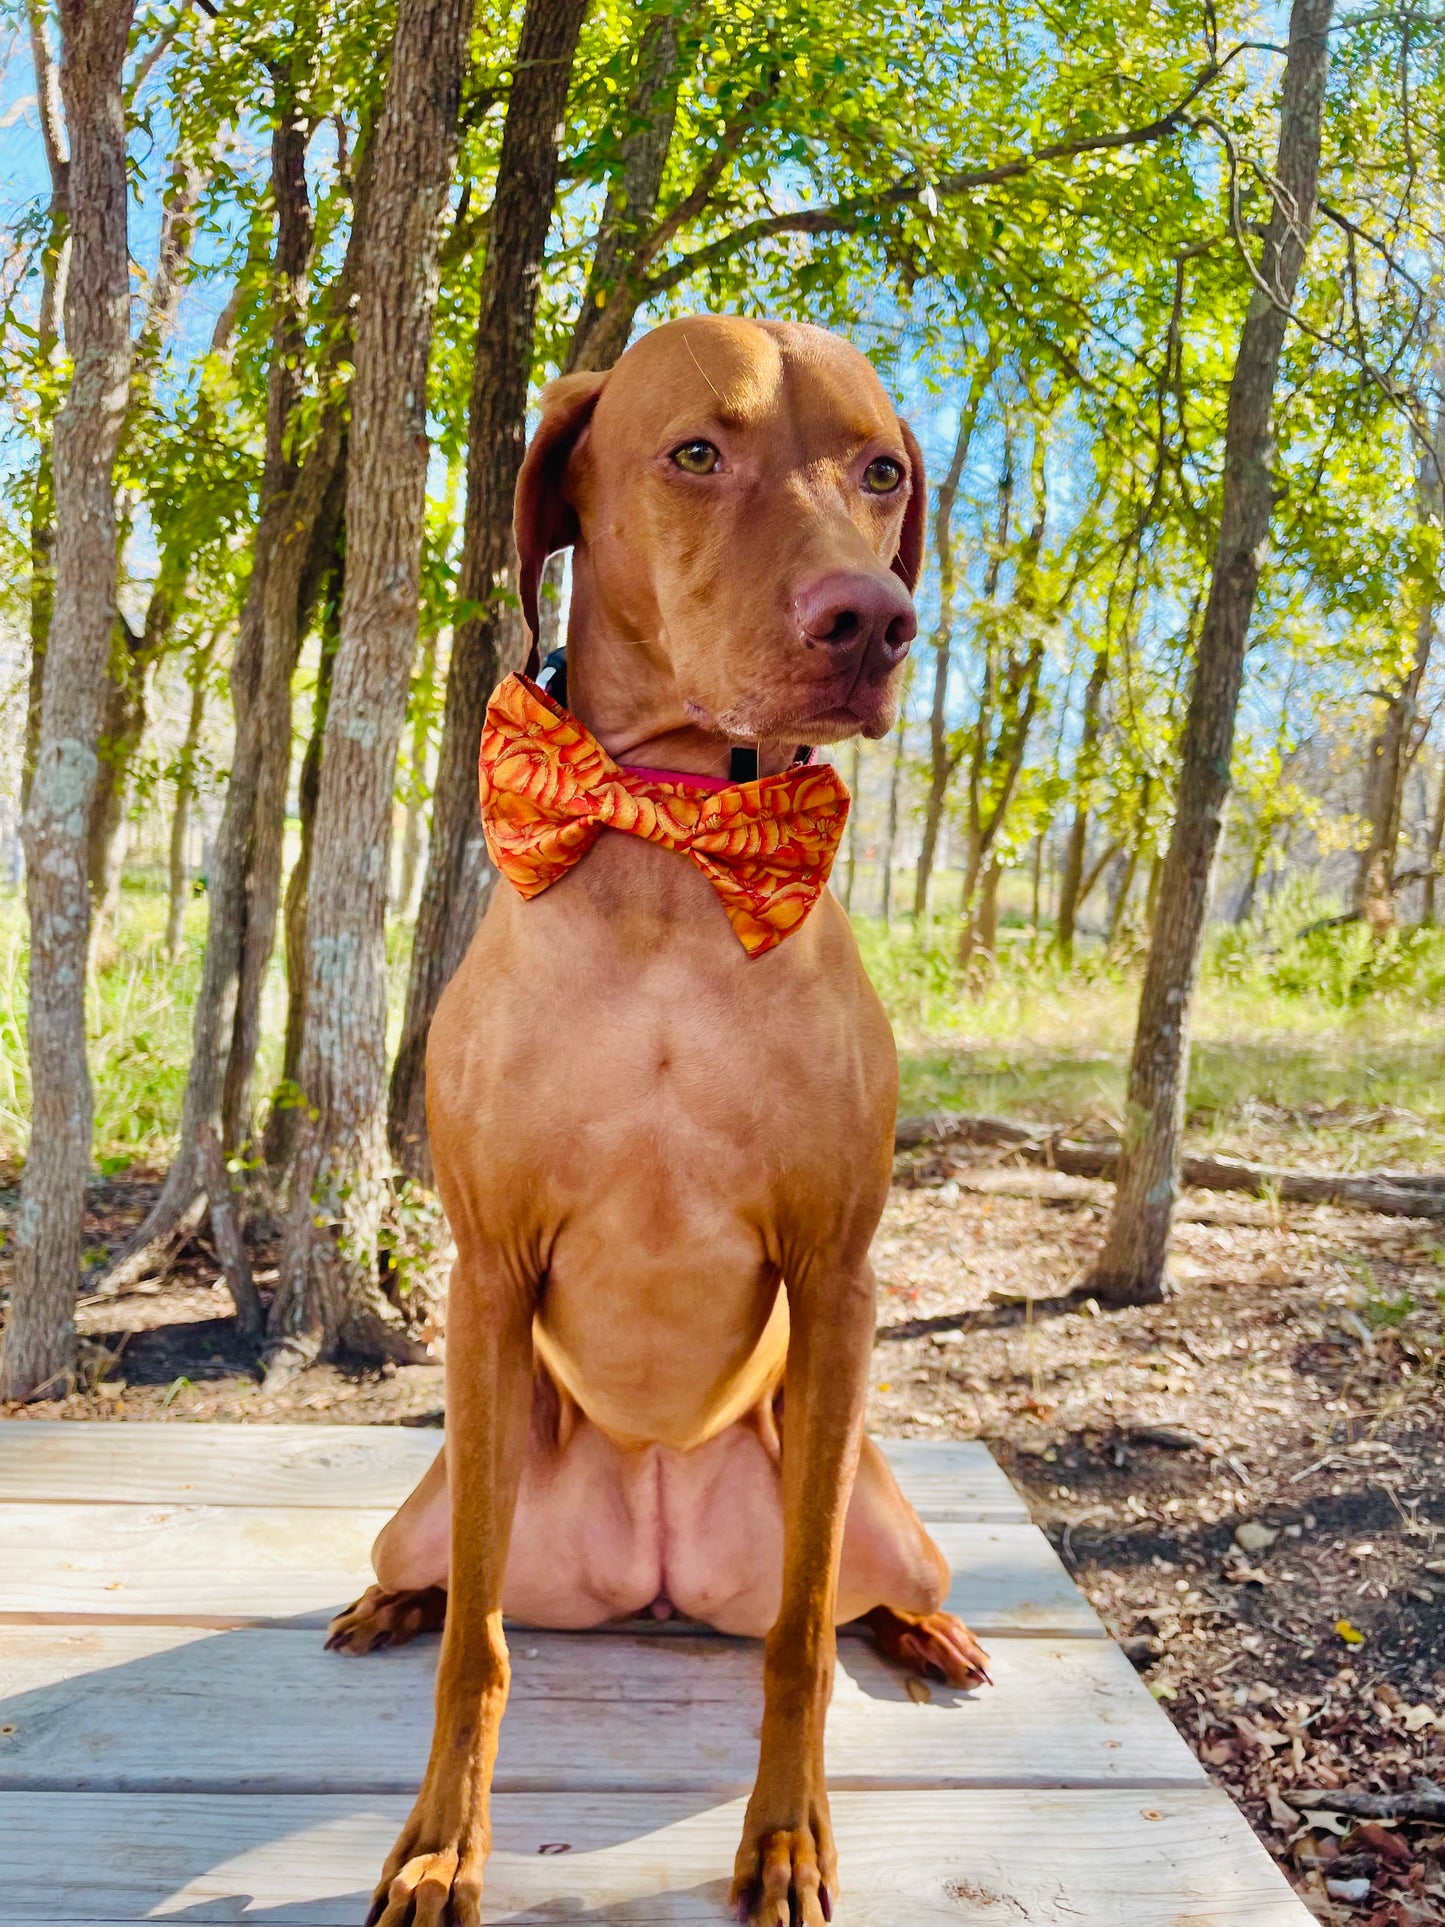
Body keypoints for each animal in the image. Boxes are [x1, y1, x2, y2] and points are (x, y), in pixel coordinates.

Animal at [333, 319, 994, 1927]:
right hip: (440, 1491)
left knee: (871, 1591)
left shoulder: (837, 1279)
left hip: (879, 1503)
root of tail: (654, 1562)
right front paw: (440, 1841)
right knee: (447, 1575)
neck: (673, 845)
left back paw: (929, 1635)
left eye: (880, 470)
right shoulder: (486, 1274)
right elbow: (478, 1648)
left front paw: (788, 1836)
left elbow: (803, 1633)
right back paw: (386, 1597)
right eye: (697, 451)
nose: (872, 620)